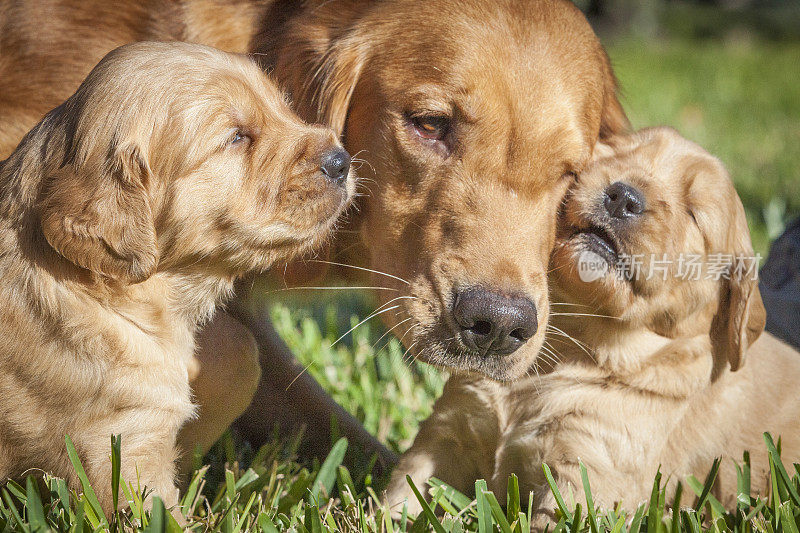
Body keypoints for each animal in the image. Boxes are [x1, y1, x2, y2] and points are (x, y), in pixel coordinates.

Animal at [388, 128, 800, 520]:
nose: (623, 197)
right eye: (617, 154)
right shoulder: (448, 431)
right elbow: (402, 495)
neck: (576, 339)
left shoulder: (588, 472)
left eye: (694, 213)